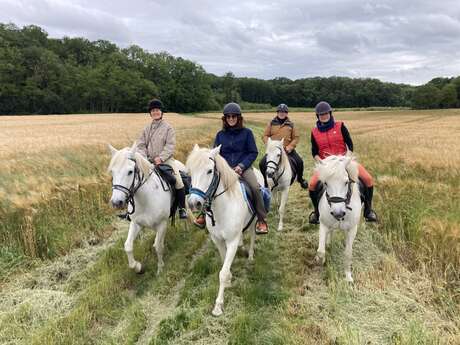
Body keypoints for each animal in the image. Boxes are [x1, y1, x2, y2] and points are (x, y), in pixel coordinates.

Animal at [108, 142, 180, 274]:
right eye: (112, 172)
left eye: (130, 171)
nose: (116, 202)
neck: (146, 199)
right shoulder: (136, 224)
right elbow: (128, 246)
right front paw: (138, 267)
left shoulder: (162, 224)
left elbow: (158, 246)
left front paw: (160, 269)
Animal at [185, 144, 260, 316]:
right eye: (190, 172)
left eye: (209, 171)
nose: (193, 204)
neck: (221, 210)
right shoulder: (218, 240)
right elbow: (224, 262)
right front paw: (230, 280)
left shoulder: (231, 241)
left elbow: (222, 272)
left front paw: (218, 306)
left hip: (254, 221)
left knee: (252, 235)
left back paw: (251, 255)